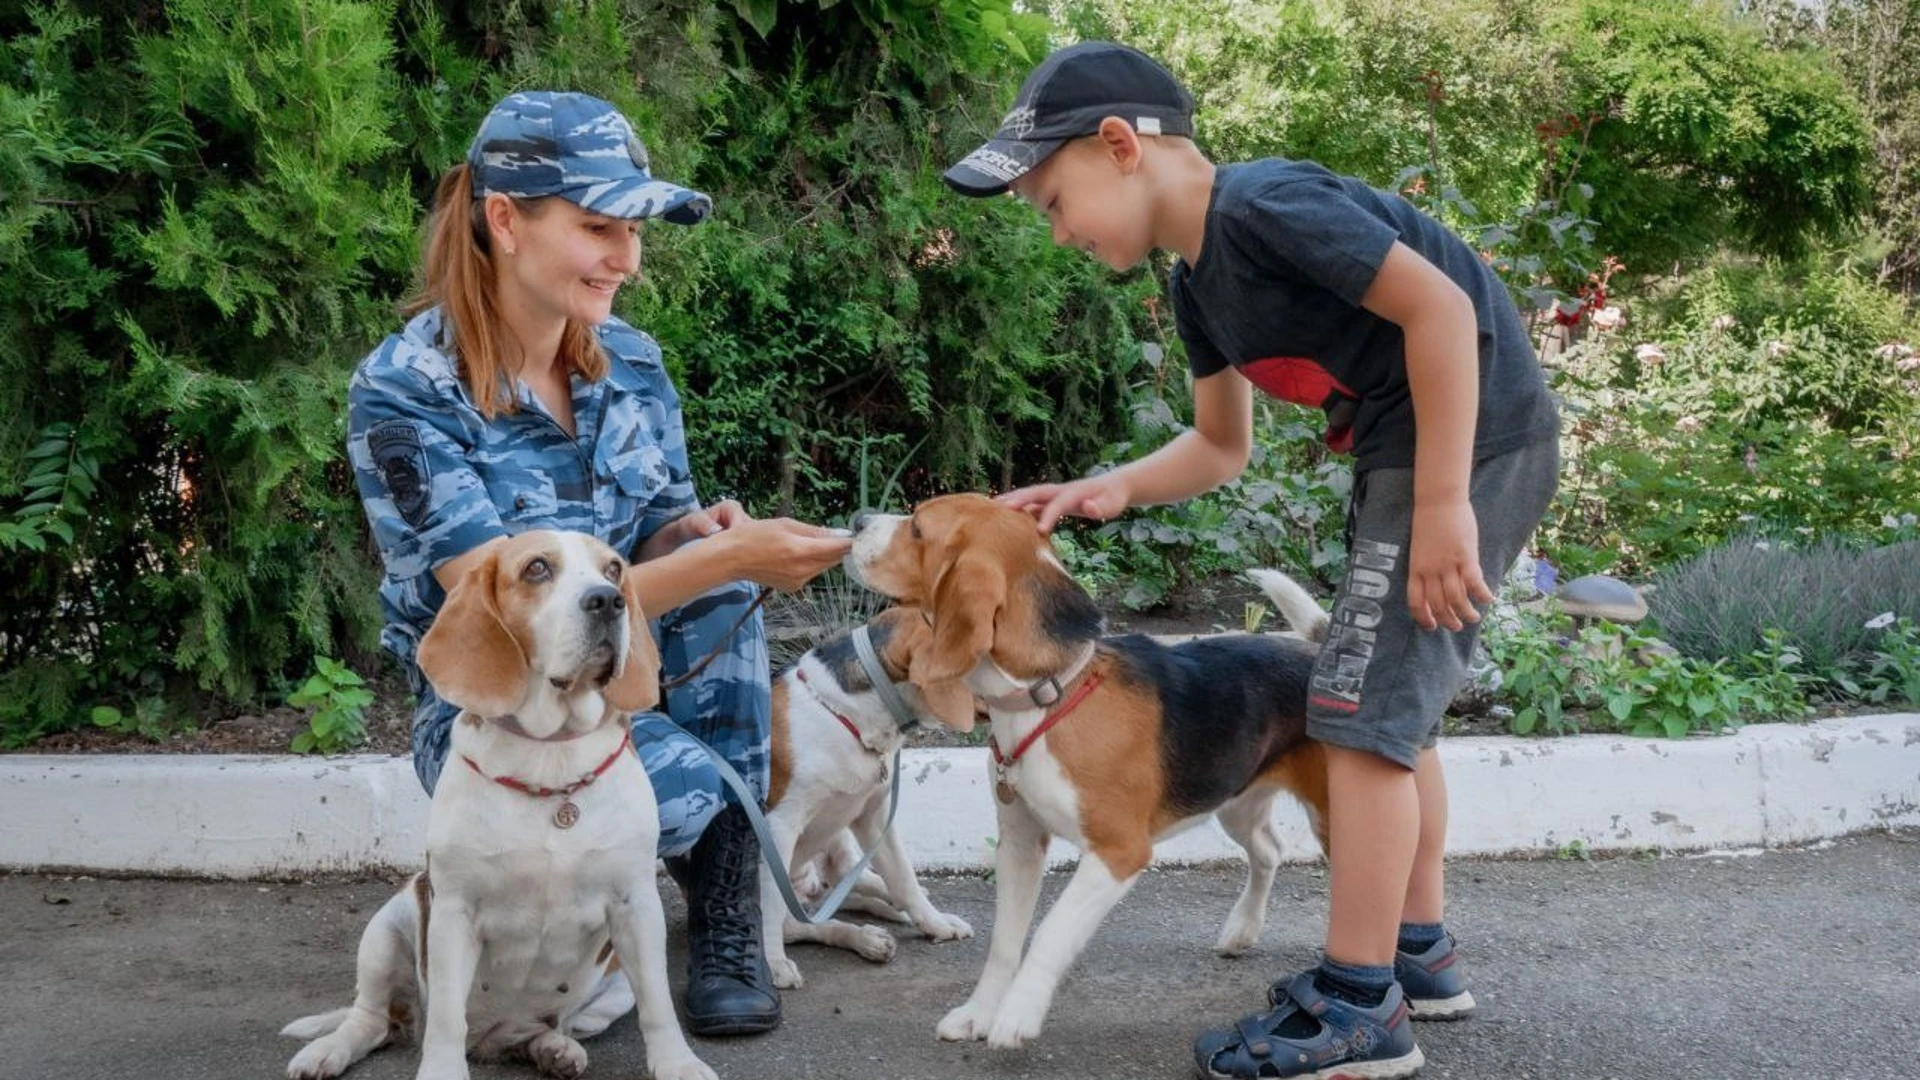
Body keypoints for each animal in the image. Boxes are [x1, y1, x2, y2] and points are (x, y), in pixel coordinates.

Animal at [280, 526, 710, 1076]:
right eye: (537, 569)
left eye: (614, 569)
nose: (608, 600)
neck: (551, 757)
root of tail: (489, 1039)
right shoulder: (454, 913)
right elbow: (445, 1018)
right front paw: (441, 1070)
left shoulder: (637, 906)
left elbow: (659, 1004)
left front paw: (677, 1063)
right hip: (386, 930)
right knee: (372, 1018)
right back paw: (329, 1050)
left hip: (611, 989)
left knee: (551, 1027)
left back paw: (552, 1047)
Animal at [760, 607, 975, 983]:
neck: (845, 715)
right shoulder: (780, 825)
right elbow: (771, 902)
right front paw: (773, 964)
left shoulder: (874, 815)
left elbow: (903, 877)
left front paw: (934, 923)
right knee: (805, 923)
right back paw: (865, 938)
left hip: (837, 841)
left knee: (851, 883)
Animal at [848, 495, 1328, 1045]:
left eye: (918, 528)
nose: (857, 521)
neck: (1047, 694)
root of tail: (1319, 654)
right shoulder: (1019, 843)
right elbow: (1004, 944)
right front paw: (980, 1011)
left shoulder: (1118, 853)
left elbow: (1049, 932)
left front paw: (1018, 1013)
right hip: (1234, 800)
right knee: (1269, 849)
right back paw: (1242, 929)